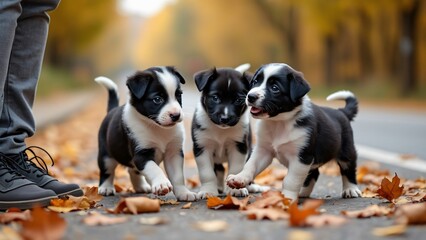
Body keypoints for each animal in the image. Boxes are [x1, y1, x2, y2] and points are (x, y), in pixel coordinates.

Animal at [95, 66, 196, 202]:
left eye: (178, 95)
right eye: (157, 99)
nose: (176, 115)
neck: (157, 127)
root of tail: (111, 110)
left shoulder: (174, 153)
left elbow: (178, 176)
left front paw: (184, 193)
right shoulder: (141, 154)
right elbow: (154, 169)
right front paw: (162, 183)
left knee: (133, 171)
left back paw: (141, 187)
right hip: (106, 155)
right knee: (107, 171)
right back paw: (106, 188)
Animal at [225, 62, 362, 202]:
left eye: (275, 88)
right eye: (255, 82)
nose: (250, 96)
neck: (278, 122)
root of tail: (341, 111)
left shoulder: (302, 157)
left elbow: (291, 180)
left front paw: (287, 199)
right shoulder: (263, 150)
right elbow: (250, 165)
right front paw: (239, 178)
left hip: (346, 151)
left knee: (348, 169)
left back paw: (350, 189)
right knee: (314, 173)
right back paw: (303, 192)